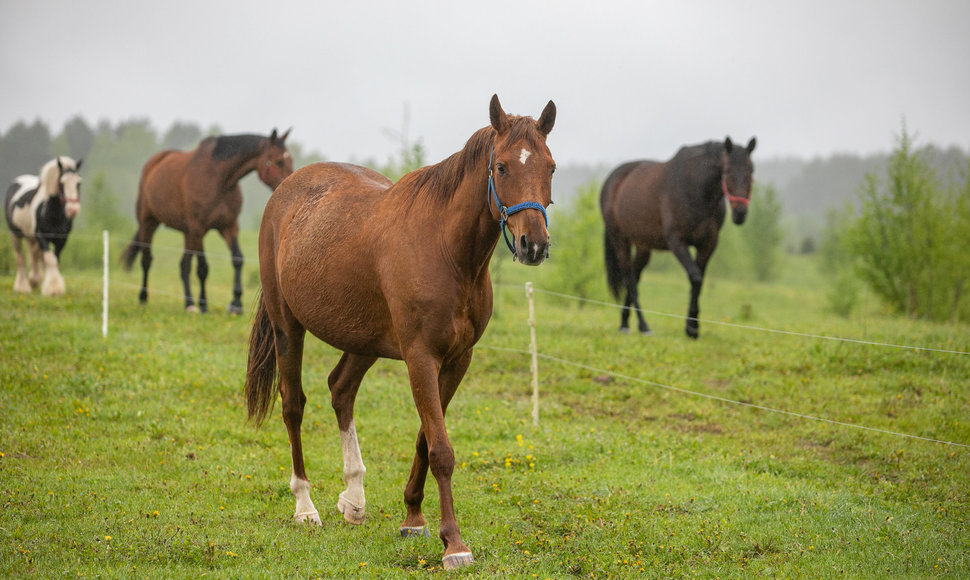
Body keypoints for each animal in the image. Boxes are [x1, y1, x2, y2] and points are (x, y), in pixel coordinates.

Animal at [119, 130, 292, 314]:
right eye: (278, 161)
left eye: (290, 160)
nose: (289, 184)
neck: (219, 179)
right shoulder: (198, 228)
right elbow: (201, 267)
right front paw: (200, 304)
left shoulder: (228, 226)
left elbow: (237, 259)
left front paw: (235, 304)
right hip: (149, 224)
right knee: (147, 260)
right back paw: (145, 298)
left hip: (186, 233)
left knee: (183, 264)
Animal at [246, 96, 556, 572]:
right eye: (502, 167)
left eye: (551, 167)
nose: (534, 245)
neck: (446, 250)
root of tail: (286, 190)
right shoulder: (420, 356)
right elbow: (441, 450)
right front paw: (454, 544)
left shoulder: (456, 360)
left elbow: (425, 439)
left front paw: (413, 518)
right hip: (287, 327)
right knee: (293, 405)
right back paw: (305, 507)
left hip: (362, 340)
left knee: (341, 390)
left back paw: (354, 499)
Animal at [596, 138, 756, 338]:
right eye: (727, 172)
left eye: (751, 171)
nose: (740, 213)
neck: (696, 191)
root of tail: (612, 180)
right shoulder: (677, 242)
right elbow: (695, 277)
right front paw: (692, 328)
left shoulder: (708, 244)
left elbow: (699, 281)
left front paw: (693, 326)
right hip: (620, 240)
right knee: (629, 279)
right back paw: (643, 326)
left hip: (643, 246)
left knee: (634, 275)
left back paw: (625, 322)